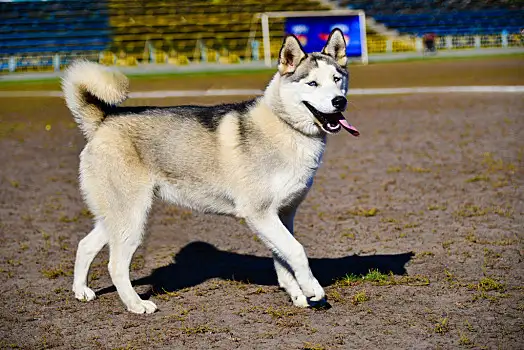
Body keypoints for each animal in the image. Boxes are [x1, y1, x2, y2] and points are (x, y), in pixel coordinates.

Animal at [63, 28, 360, 314]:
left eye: (337, 79)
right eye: (312, 83)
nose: (339, 101)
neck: (285, 127)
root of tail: (104, 120)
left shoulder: (282, 215)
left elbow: (283, 260)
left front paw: (297, 295)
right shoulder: (260, 214)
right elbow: (297, 251)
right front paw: (313, 289)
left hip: (117, 217)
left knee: (85, 245)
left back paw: (81, 291)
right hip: (132, 218)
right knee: (115, 265)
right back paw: (136, 305)